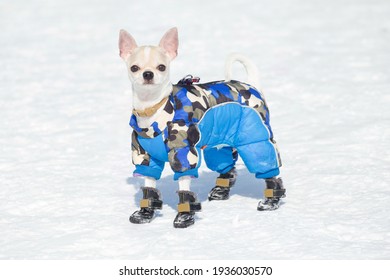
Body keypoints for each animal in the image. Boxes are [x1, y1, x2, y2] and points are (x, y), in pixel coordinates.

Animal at [117, 26, 284, 228]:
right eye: (134, 68)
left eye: (161, 67)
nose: (148, 74)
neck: (155, 109)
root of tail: (251, 85)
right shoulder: (145, 156)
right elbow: (149, 185)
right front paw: (145, 213)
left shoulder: (183, 154)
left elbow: (184, 186)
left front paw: (184, 216)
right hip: (218, 142)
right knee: (226, 165)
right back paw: (221, 189)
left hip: (254, 139)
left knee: (266, 164)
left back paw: (271, 200)